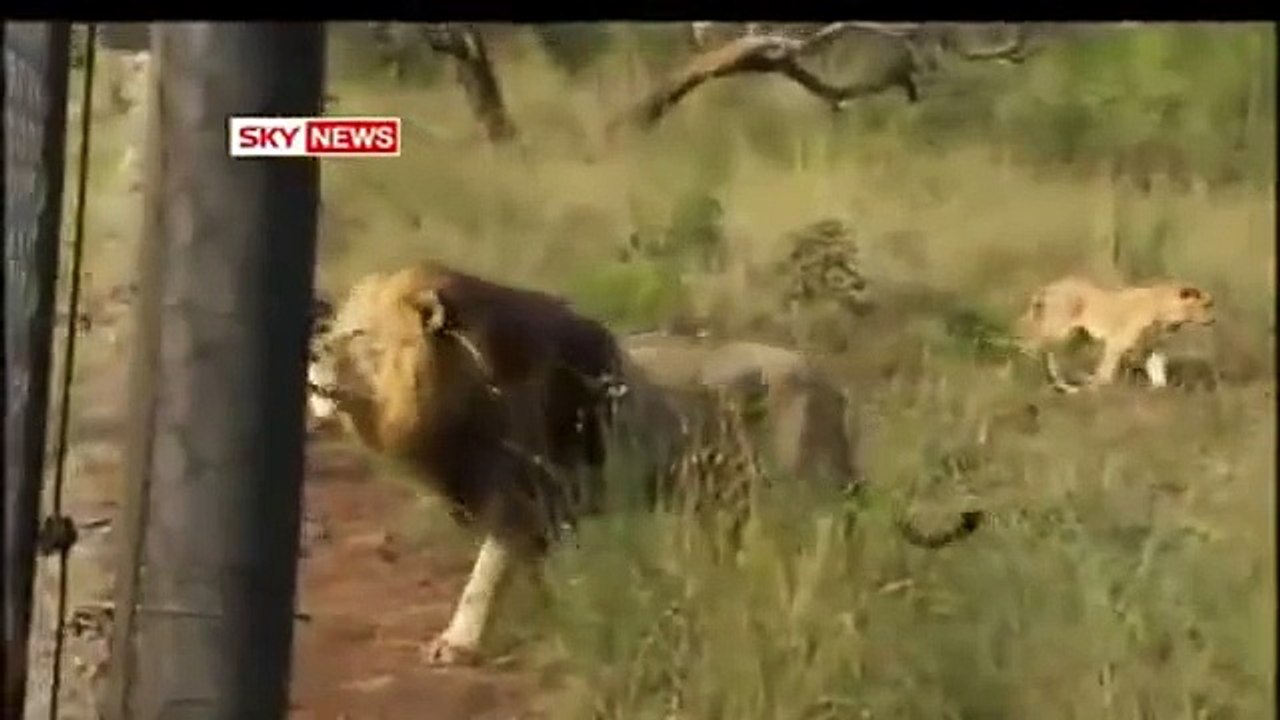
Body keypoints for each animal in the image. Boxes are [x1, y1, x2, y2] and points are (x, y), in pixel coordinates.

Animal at [306, 262, 983, 667]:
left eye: (360, 337)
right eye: (339, 330)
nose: (312, 362)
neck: (453, 389)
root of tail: (831, 383)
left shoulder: (522, 499)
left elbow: (485, 576)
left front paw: (458, 644)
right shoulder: (533, 511)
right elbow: (528, 575)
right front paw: (553, 621)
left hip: (806, 486)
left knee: (827, 547)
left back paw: (811, 609)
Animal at [1013, 275, 1216, 393]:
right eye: (1206, 305)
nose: (1212, 320)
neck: (1164, 311)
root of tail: (1049, 287)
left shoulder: (1152, 347)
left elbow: (1158, 372)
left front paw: (1158, 391)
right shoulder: (1117, 343)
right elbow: (1106, 372)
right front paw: (1096, 390)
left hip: (1076, 333)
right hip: (1058, 330)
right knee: (1035, 346)